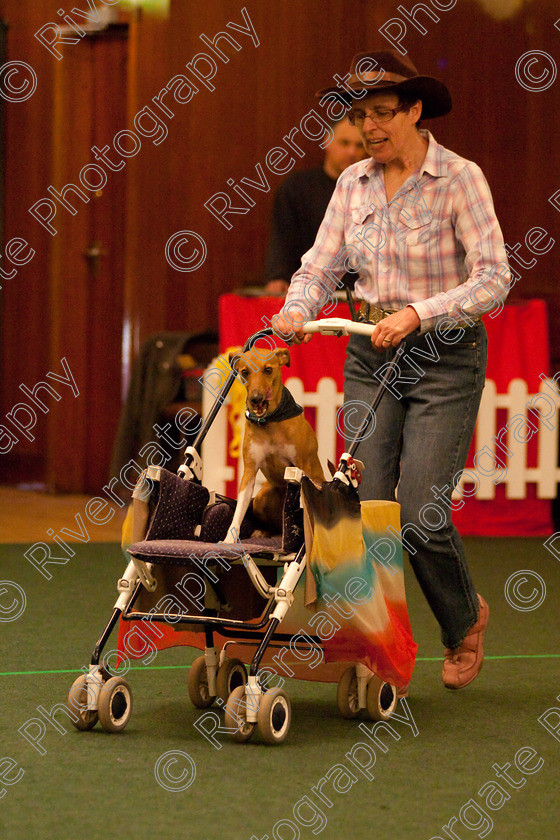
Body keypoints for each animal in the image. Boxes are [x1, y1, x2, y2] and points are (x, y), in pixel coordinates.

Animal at [223, 344, 326, 540]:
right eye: (245, 372)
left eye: (268, 370)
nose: (256, 398)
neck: (269, 422)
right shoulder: (249, 471)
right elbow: (238, 512)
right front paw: (229, 540)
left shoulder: (303, 466)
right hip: (262, 498)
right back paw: (264, 531)